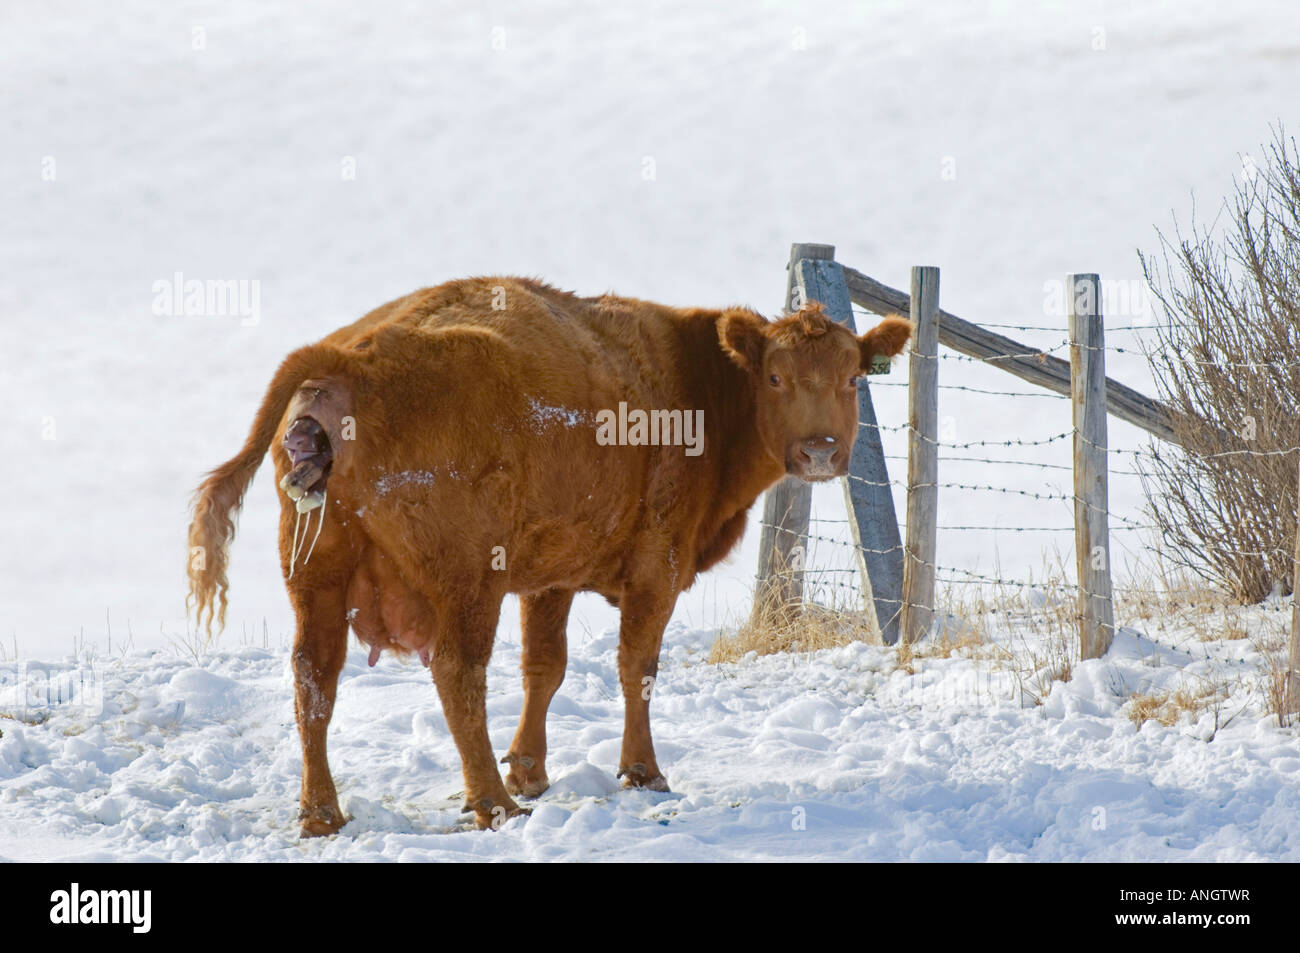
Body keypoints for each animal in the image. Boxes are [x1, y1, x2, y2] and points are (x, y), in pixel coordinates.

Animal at [188, 276, 909, 832]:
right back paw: (493, 805)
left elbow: (545, 667)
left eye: (853, 378)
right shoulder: (656, 566)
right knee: (457, 673)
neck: (696, 383)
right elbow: (636, 668)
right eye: (776, 375)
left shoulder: (551, 576)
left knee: (314, 676)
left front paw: (531, 769)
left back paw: (323, 813)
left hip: (316, 574)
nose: (819, 451)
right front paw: (641, 771)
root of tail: (350, 355)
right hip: (466, 581)